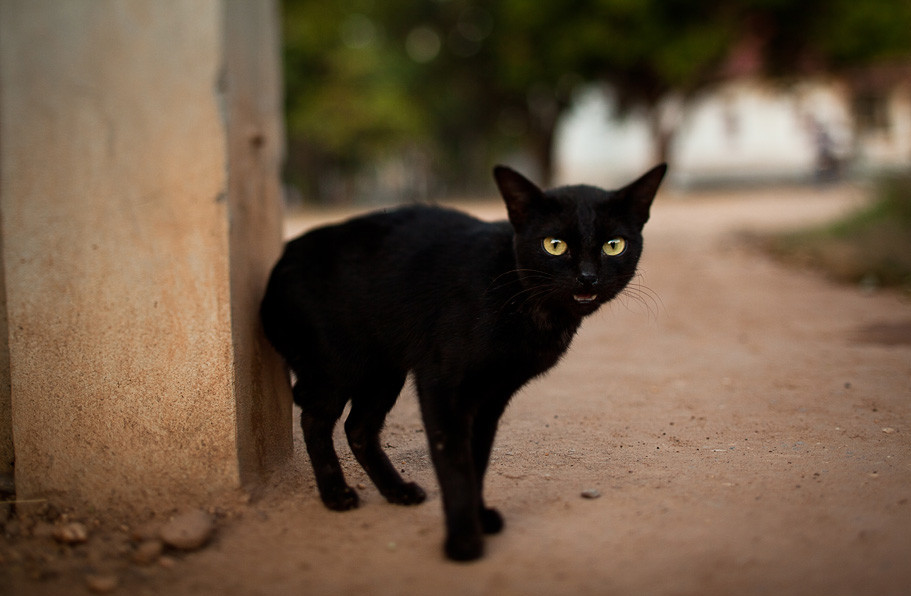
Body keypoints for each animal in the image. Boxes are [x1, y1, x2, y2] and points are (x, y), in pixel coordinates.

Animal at [260, 162, 668, 560]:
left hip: (385, 372)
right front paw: (464, 542)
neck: (522, 300)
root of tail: (279, 264)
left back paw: (397, 491)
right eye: (555, 245)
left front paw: (480, 516)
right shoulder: (443, 387)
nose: (587, 277)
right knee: (315, 421)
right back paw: (336, 495)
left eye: (614, 245)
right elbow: (455, 464)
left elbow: (478, 460)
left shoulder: (492, 398)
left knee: (358, 428)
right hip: (338, 369)